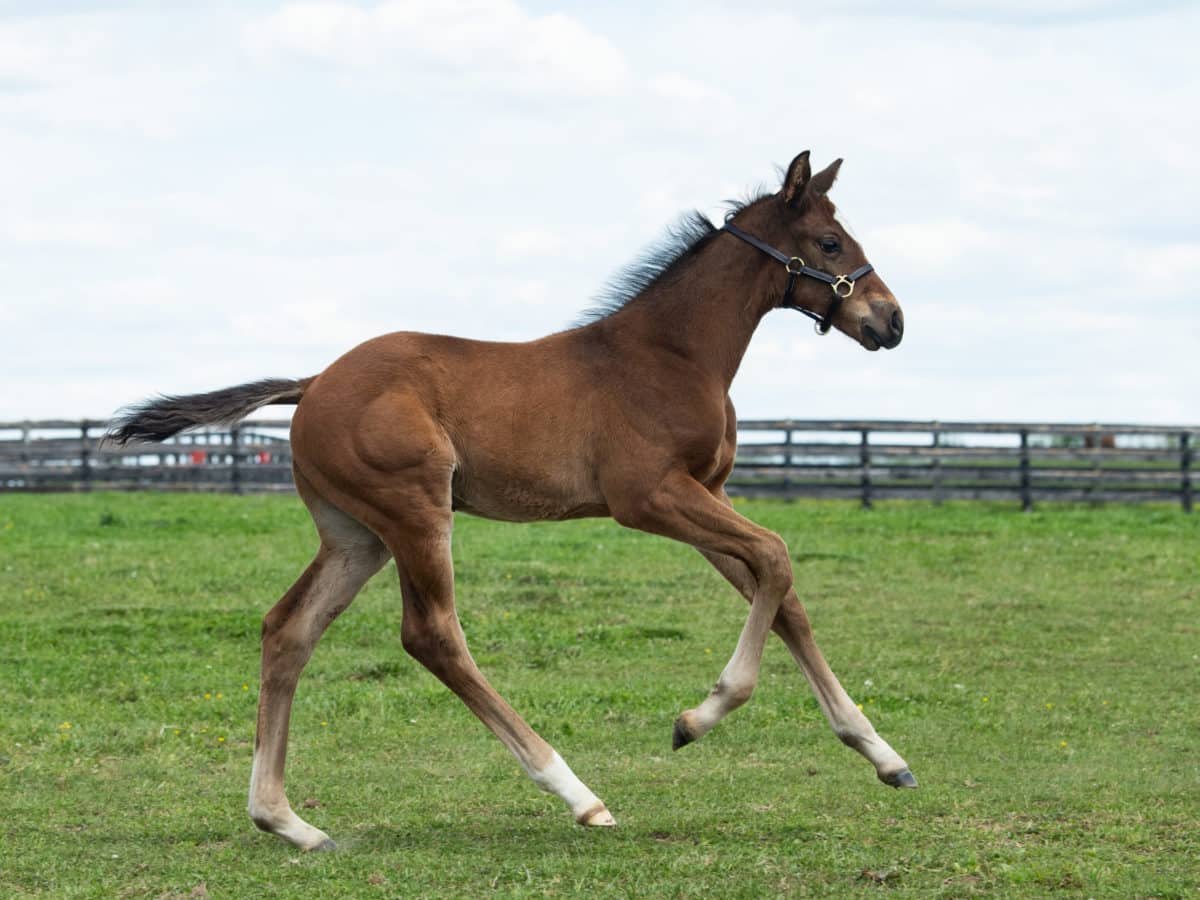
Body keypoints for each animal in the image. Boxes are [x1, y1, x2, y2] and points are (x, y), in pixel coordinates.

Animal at [114, 154, 916, 854]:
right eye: (830, 242)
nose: (891, 321)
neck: (671, 355)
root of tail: (312, 384)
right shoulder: (651, 497)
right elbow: (776, 558)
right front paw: (697, 717)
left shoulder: (704, 494)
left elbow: (781, 596)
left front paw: (881, 753)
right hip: (415, 511)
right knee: (431, 635)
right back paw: (577, 793)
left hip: (355, 535)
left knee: (289, 629)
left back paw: (288, 823)